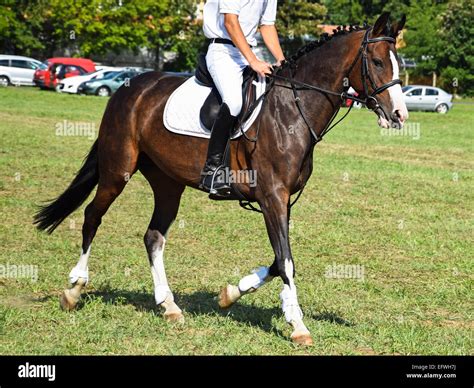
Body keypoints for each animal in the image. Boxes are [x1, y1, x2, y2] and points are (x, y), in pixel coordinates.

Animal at [35, 12, 410, 346]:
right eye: (378, 62)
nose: (399, 115)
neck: (293, 107)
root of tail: (130, 87)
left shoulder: (282, 201)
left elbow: (278, 260)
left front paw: (231, 293)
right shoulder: (272, 196)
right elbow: (286, 260)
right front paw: (298, 326)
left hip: (167, 182)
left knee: (153, 237)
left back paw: (169, 305)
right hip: (118, 170)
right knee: (92, 216)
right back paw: (74, 289)